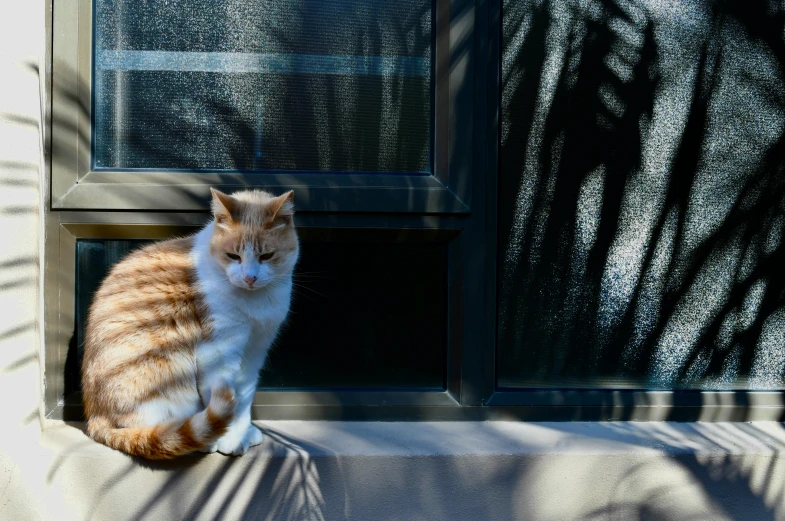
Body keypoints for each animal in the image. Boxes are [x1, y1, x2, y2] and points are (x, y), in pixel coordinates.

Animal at [81, 189, 298, 458]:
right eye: (233, 256)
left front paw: (243, 433)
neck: (255, 302)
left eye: (267, 256)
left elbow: (243, 401)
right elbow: (223, 399)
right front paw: (229, 439)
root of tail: (95, 418)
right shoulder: (217, 351)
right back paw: (204, 441)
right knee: (155, 430)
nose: (250, 277)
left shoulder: (255, 351)